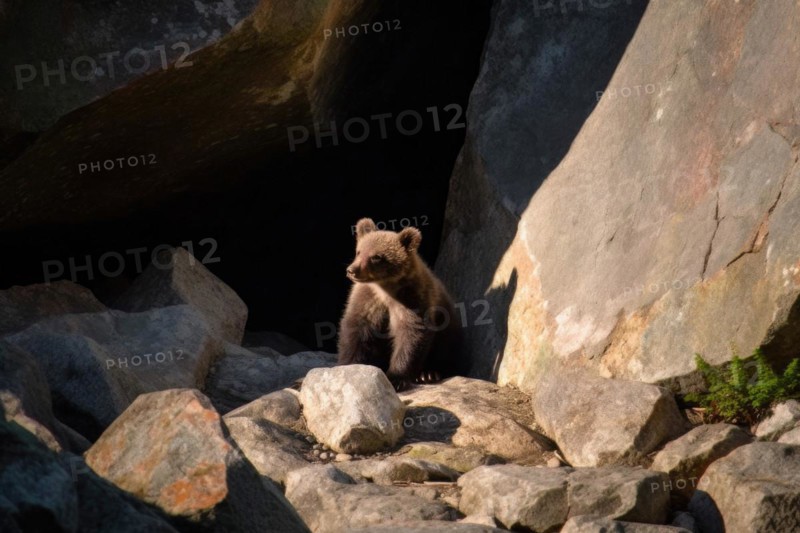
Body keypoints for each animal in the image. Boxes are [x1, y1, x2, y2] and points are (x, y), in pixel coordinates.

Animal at [337, 217, 463, 391]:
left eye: (376, 257)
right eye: (358, 251)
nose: (352, 270)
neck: (385, 289)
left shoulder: (412, 299)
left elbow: (411, 334)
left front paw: (396, 378)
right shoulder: (368, 300)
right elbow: (356, 330)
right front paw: (348, 364)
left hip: (448, 326)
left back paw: (429, 373)